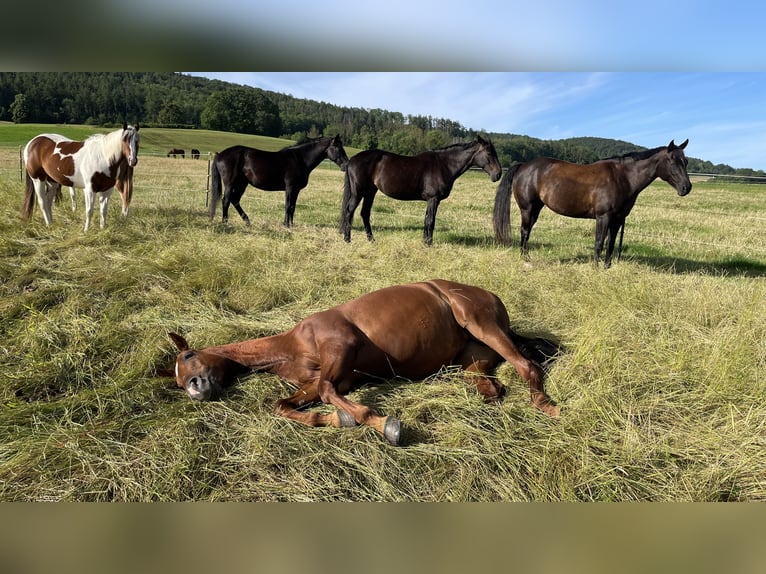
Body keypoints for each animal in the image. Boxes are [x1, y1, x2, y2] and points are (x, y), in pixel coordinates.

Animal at [164, 279, 561, 446]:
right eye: (179, 380)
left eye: (188, 356)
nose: (196, 390)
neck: (292, 345)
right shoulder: (335, 380)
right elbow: (285, 404)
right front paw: (334, 420)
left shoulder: (342, 348)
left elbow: (328, 392)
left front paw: (385, 425)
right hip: (471, 364)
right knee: (494, 385)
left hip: (478, 321)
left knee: (528, 366)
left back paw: (547, 406)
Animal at [209, 135, 349, 227]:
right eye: (337, 147)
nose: (346, 165)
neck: (300, 159)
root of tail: (220, 154)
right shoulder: (290, 187)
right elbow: (288, 205)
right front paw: (286, 225)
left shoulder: (296, 190)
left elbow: (293, 207)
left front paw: (290, 224)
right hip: (230, 183)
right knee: (226, 200)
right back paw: (225, 222)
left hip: (242, 184)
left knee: (235, 200)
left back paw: (247, 221)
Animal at [340, 136, 502, 245]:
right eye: (489, 153)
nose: (498, 174)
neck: (444, 164)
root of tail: (352, 160)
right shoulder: (433, 199)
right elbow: (430, 221)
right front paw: (429, 243)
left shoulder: (432, 200)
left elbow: (427, 219)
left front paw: (425, 241)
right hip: (358, 192)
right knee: (349, 211)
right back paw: (347, 239)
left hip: (370, 192)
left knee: (364, 213)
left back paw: (371, 240)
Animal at [493, 139, 692, 267]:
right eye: (672, 161)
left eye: (686, 161)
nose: (686, 187)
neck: (623, 177)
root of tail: (524, 165)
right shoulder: (603, 217)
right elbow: (599, 243)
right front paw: (596, 268)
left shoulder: (617, 219)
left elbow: (610, 244)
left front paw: (607, 267)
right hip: (527, 208)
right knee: (524, 231)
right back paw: (525, 259)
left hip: (536, 209)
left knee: (528, 232)